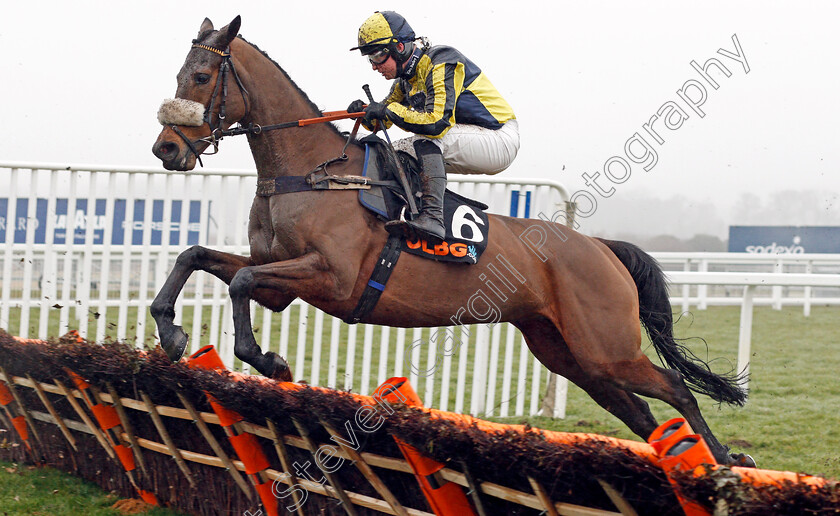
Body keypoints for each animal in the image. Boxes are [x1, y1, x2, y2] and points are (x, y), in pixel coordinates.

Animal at [151, 18, 756, 466]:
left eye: (201, 76)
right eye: (178, 74)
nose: (166, 149)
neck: (311, 173)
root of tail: (602, 247)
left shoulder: (332, 278)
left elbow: (242, 282)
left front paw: (268, 360)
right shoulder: (282, 280)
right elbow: (199, 257)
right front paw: (172, 332)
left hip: (606, 346)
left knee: (675, 388)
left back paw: (726, 461)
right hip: (569, 353)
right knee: (640, 411)